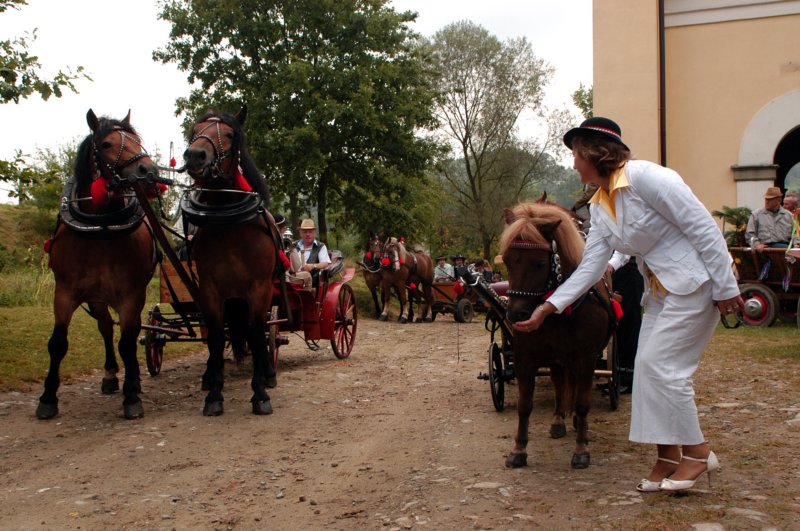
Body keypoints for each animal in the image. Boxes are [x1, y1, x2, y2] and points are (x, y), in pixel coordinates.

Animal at [38, 110, 160, 420]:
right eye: (106, 144)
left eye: (136, 140)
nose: (149, 172)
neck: (101, 228)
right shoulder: (65, 292)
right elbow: (57, 343)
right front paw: (47, 398)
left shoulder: (132, 294)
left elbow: (127, 342)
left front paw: (131, 397)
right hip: (97, 297)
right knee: (105, 327)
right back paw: (110, 375)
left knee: (129, 331)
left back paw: (133, 380)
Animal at [181, 105, 280, 416]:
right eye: (194, 130)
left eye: (229, 134)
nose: (195, 155)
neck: (229, 223)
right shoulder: (210, 289)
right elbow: (214, 337)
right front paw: (214, 394)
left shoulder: (259, 288)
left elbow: (258, 336)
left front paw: (260, 393)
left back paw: (268, 374)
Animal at [500, 202, 613, 469]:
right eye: (507, 260)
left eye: (540, 263)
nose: (516, 315)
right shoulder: (525, 356)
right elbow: (524, 405)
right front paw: (519, 449)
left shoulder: (586, 358)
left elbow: (582, 403)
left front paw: (581, 449)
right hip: (556, 358)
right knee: (560, 383)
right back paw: (559, 420)